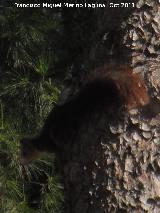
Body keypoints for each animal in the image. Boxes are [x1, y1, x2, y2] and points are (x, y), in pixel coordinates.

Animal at [20, 65, 150, 165]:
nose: (21, 162)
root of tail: (76, 104)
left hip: (63, 126)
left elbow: (57, 150)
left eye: (25, 152)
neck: (39, 143)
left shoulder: (50, 144)